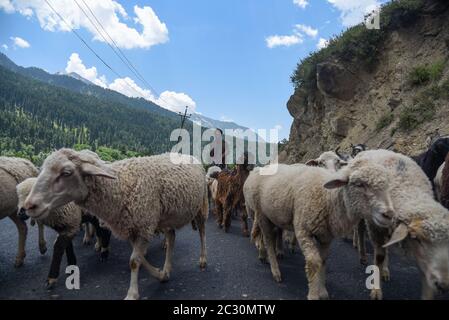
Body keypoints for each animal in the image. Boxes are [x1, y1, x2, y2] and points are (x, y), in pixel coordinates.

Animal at [22, 149, 208, 300]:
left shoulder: (144, 226)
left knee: (202, 232)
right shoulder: (134, 227)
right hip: (166, 217)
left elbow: (134, 261)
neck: (121, 186)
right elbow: (139, 259)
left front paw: (132, 294)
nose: (29, 205)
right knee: (171, 236)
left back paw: (203, 259)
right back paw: (167, 269)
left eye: (66, 172)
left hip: (201, 205)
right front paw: (160, 274)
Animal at [243, 159, 394, 298]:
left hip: (274, 216)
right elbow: (314, 262)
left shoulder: (326, 236)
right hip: (261, 214)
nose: (389, 214)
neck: (327, 198)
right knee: (268, 239)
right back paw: (273, 268)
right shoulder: (303, 231)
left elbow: (323, 261)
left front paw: (322, 291)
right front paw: (314, 294)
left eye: (387, 185)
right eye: (359, 184)